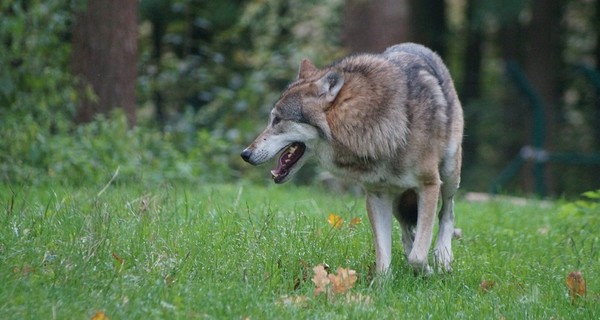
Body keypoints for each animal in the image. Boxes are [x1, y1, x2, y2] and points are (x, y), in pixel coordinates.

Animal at [240, 42, 464, 274]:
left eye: (277, 120)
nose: (245, 154)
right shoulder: (376, 194)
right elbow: (384, 260)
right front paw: (385, 282)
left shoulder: (429, 185)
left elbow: (418, 256)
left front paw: (428, 271)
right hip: (397, 198)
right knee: (407, 228)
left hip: (448, 175)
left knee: (447, 213)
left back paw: (443, 258)